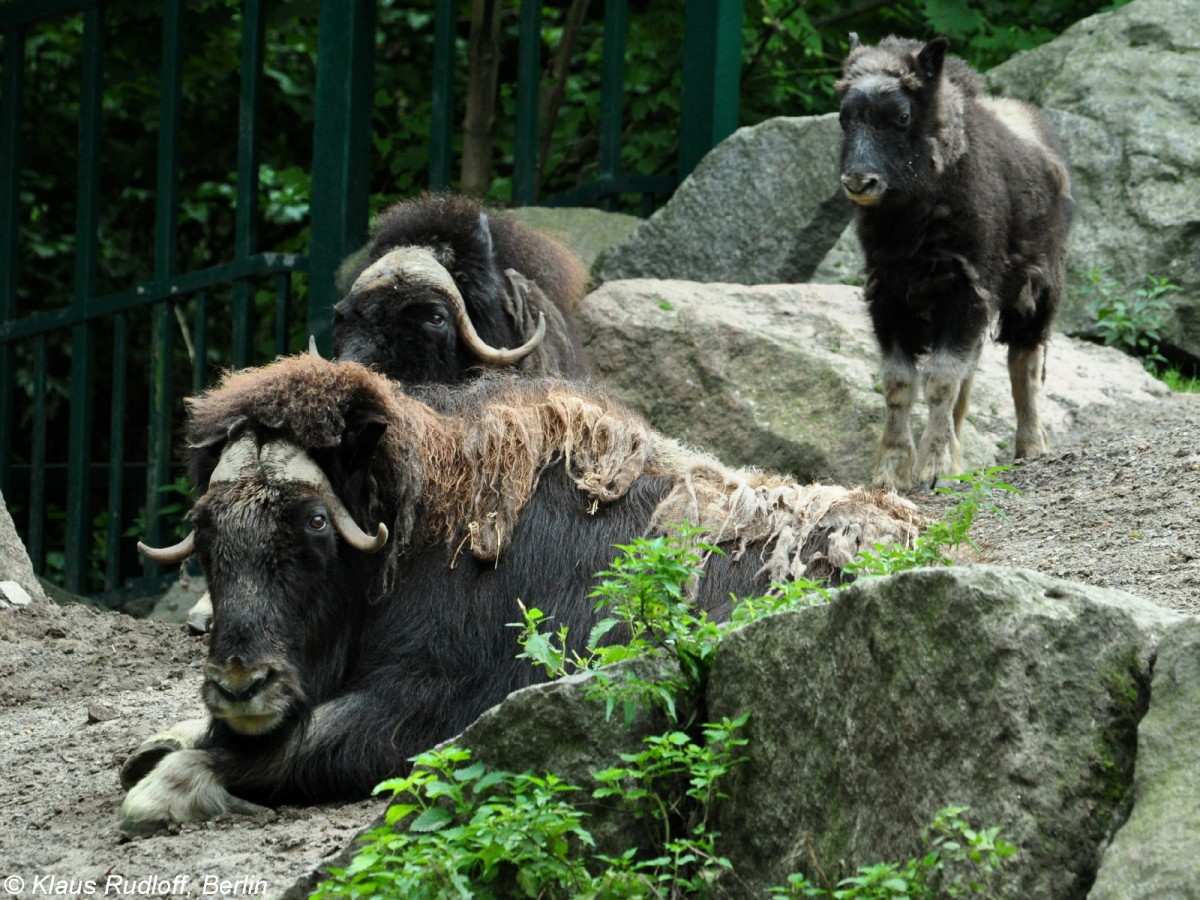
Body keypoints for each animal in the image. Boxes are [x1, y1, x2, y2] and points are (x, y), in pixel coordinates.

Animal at [121, 355, 916, 835]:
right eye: (206, 528)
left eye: (314, 521)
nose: (239, 685)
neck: (422, 531)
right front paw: (169, 736)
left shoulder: (434, 706)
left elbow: (297, 746)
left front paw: (162, 782)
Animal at [840, 35, 1075, 489]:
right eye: (844, 117)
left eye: (902, 115)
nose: (859, 182)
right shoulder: (889, 297)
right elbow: (900, 382)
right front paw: (891, 472)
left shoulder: (966, 291)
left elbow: (941, 378)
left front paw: (933, 469)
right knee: (971, 376)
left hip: (1039, 294)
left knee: (1024, 363)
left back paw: (1030, 447)